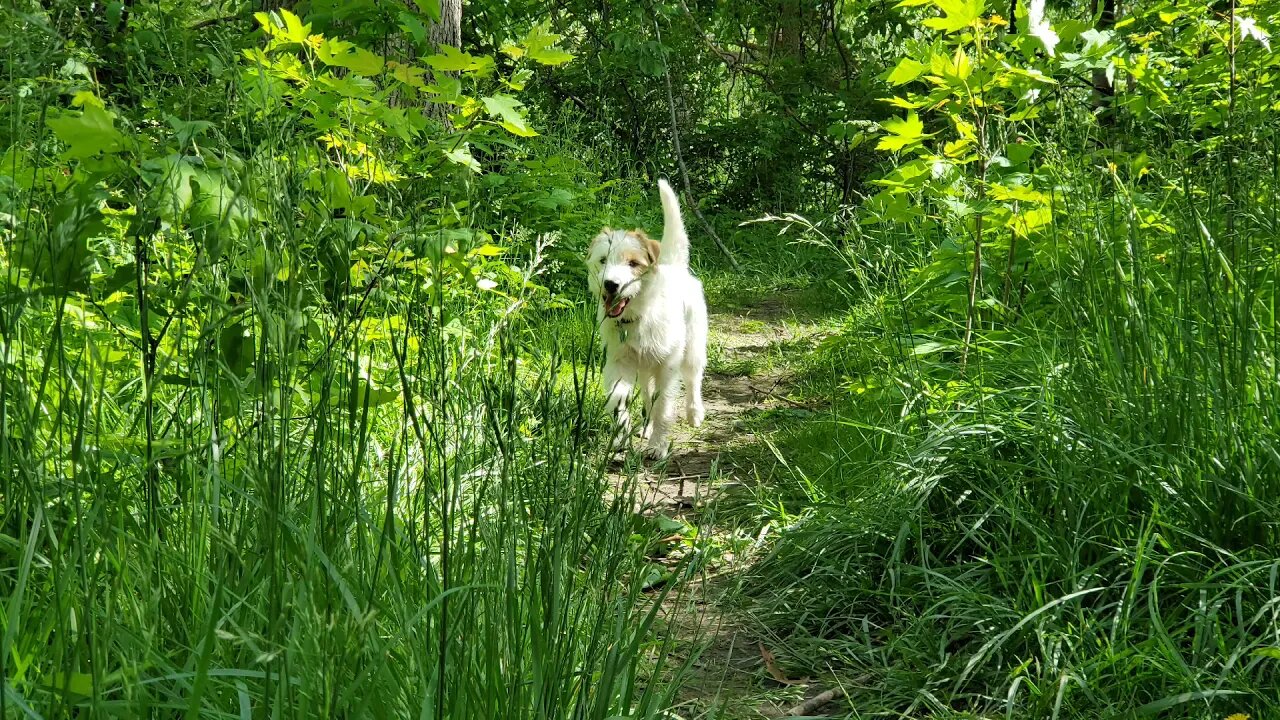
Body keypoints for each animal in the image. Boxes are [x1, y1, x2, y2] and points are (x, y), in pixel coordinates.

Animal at [583, 178, 706, 453]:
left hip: (692, 350)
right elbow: (619, 401)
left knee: (693, 380)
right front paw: (620, 437)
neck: (637, 319)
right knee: (648, 397)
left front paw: (658, 446)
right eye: (603, 260)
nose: (611, 284)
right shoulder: (619, 364)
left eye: (633, 263)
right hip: (643, 370)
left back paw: (694, 413)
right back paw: (646, 427)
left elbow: (664, 408)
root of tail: (675, 266)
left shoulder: (667, 368)